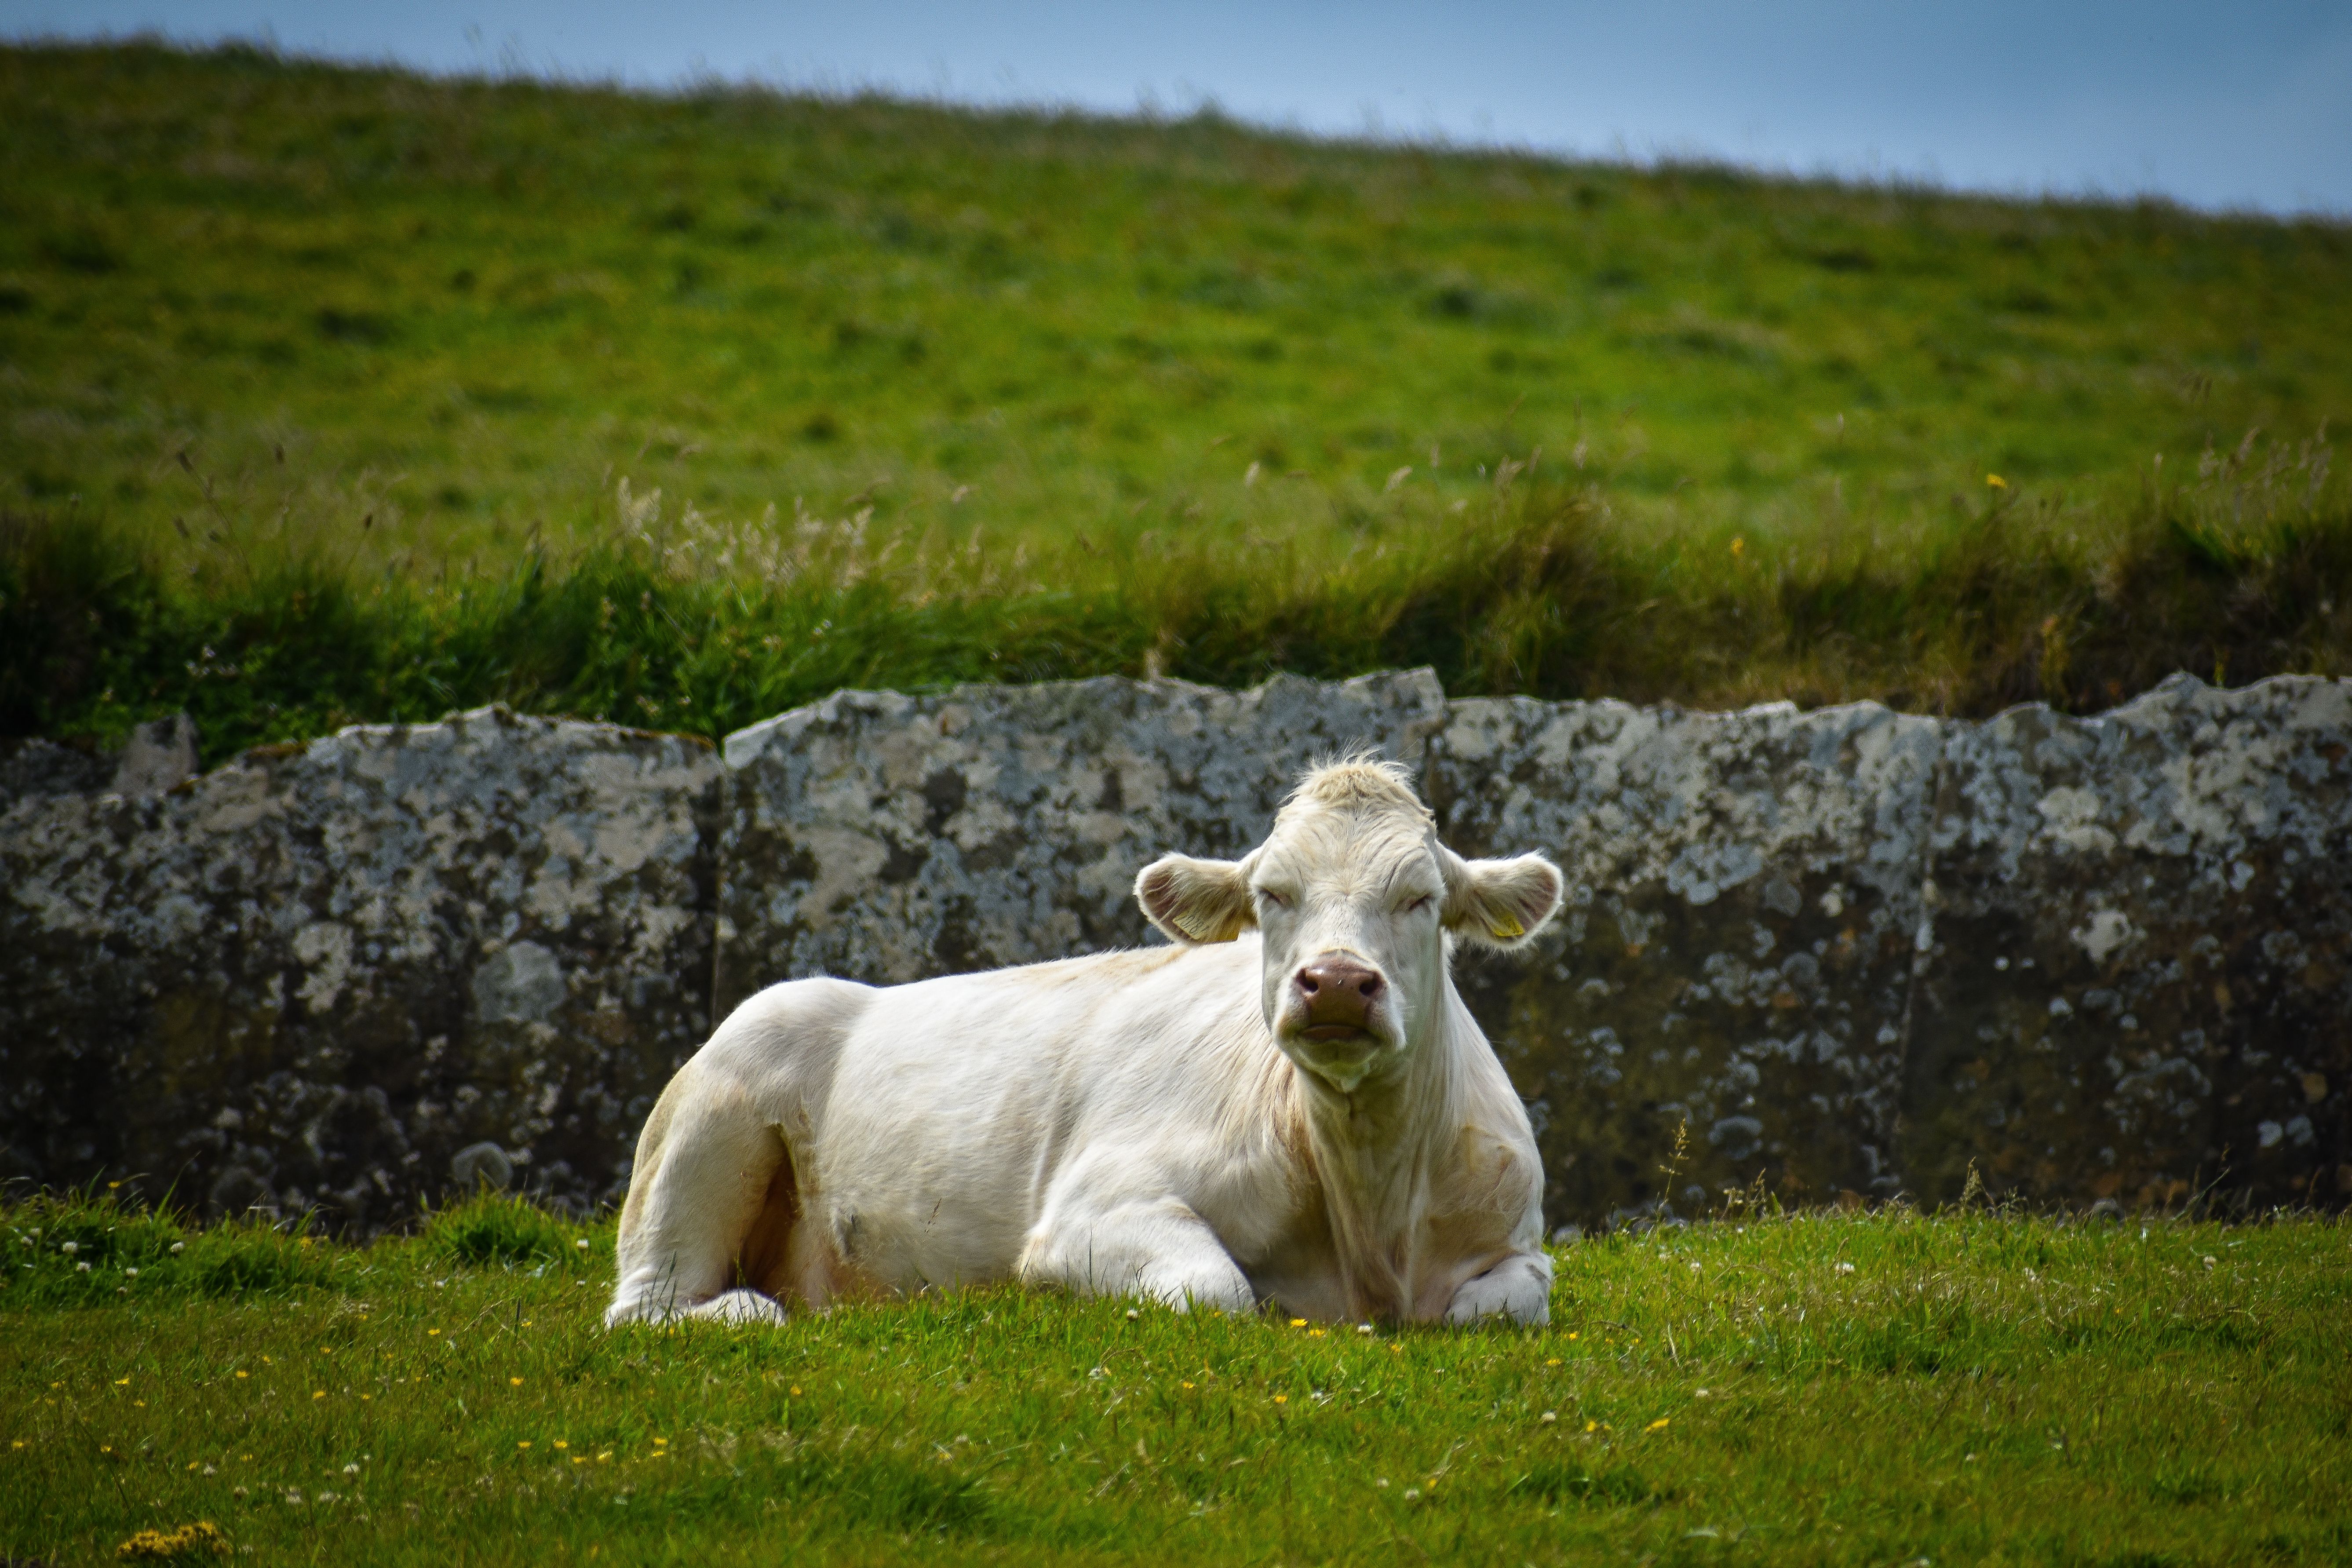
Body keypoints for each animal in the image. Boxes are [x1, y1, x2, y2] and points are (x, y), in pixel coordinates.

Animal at [605, 756, 1564, 1327]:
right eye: (1271, 895)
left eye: (1421, 898)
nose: (1332, 982)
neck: (1371, 1218)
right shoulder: (1092, 1206)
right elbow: (1219, 1288)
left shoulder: (1518, 1238)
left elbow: (1504, 1305)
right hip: (707, 1126)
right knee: (650, 1304)